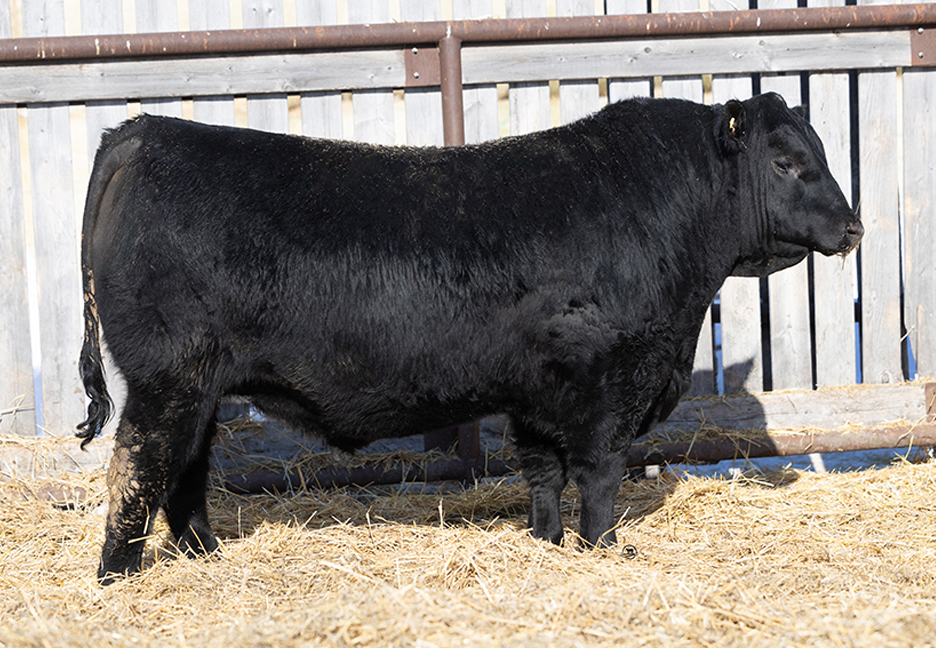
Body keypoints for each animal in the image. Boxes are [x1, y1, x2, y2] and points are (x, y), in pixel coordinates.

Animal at [77, 92, 862, 584]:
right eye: (786, 163)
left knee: (184, 471)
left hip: (198, 387)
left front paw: (548, 543)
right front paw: (607, 551)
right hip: (167, 379)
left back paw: (204, 558)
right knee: (138, 468)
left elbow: (543, 474)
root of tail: (142, 133)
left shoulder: (538, 391)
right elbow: (600, 475)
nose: (853, 227)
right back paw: (119, 577)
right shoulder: (609, 384)